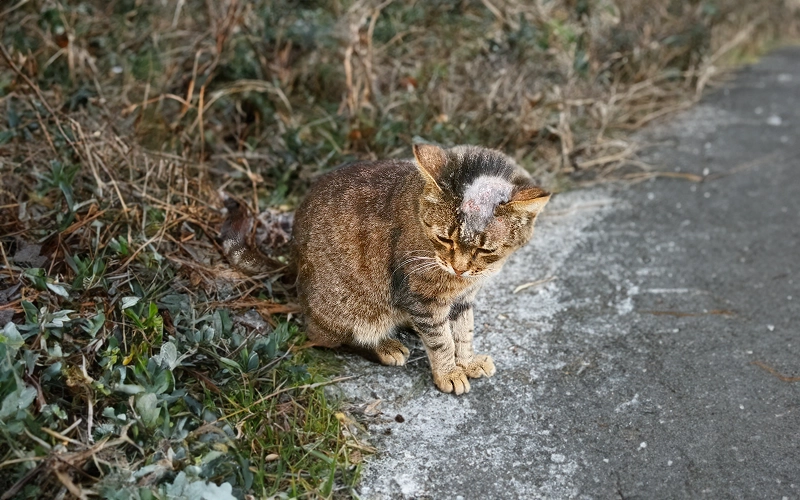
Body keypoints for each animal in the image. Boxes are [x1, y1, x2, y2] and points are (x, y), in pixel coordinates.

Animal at [290, 143, 552, 392]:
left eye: (485, 250)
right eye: (445, 239)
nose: (458, 269)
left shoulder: (463, 298)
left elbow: (464, 332)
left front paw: (467, 362)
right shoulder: (423, 297)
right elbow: (441, 340)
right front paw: (448, 373)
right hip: (348, 310)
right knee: (328, 339)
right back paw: (384, 346)